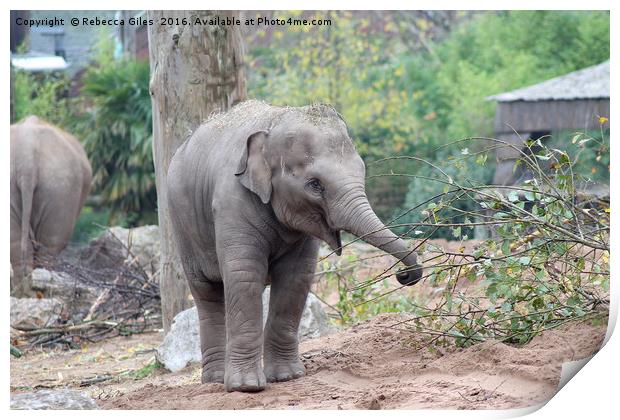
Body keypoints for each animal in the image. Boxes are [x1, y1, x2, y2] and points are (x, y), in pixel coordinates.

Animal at [167, 100, 424, 392]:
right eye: (315, 185)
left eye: (362, 171)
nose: (404, 275)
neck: (274, 122)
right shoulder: (231, 203)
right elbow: (244, 276)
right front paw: (247, 387)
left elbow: (295, 279)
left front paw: (287, 377)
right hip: (181, 225)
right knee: (206, 292)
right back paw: (215, 380)